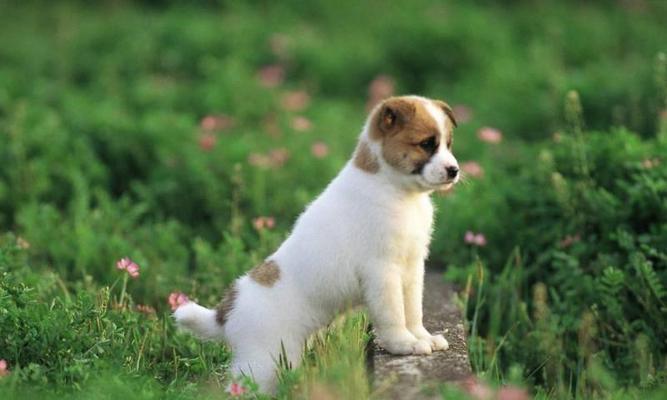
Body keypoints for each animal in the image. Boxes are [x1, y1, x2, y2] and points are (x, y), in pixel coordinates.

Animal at [175, 95, 462, 392]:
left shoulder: (412, 268)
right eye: (426, 144)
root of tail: (225, 313)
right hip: (262, 363)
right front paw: (404, 344)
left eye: (448, 143)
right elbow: (393, 314)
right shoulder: (382, 273)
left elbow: (413, 310)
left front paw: (421, 337)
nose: (454, 170)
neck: (393, 188)